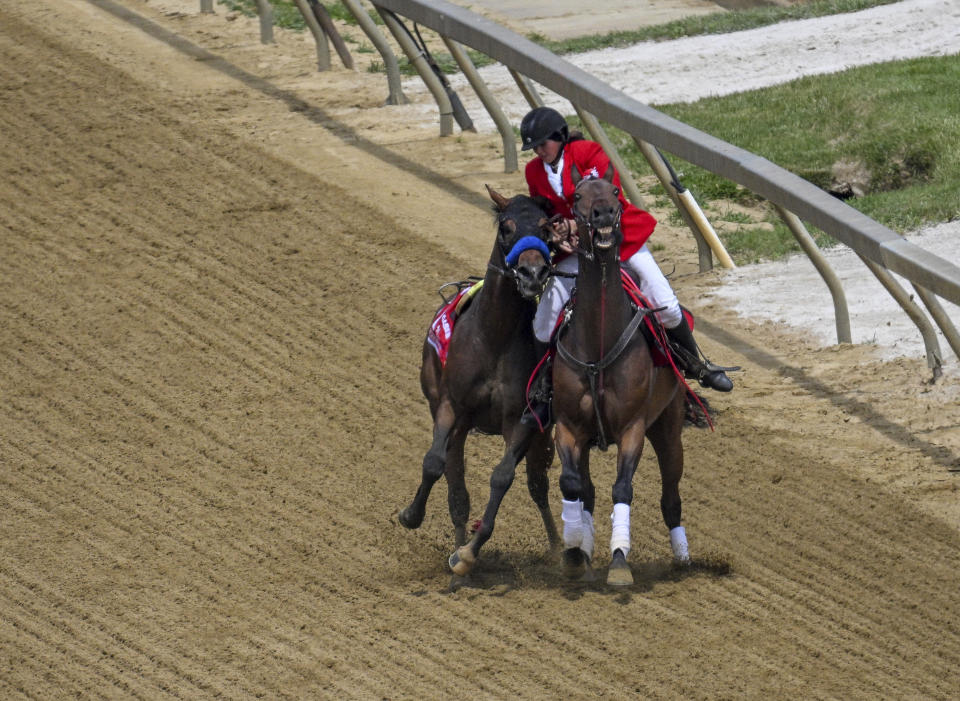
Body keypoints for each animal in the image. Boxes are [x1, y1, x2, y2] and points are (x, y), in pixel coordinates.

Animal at [400, 185, 564, 576]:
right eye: (506, 227)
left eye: (546, 228)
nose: (532, 273)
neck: (494, 337)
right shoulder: (451, 406)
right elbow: (434, 463)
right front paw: (412, 515)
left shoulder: (522, 420)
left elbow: (502, 477)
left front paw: (470, 554)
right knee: (455, 480)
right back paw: (456, 538)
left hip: (541, 434)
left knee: (537, 485)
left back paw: (558, 550)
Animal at [548, 167, 688, 588]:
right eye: (577, 196)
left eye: (614, 190)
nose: (605, 214)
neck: (598, 346)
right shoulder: (568, 426)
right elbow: (573, 485)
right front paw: (574, 551)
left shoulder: (633, 427)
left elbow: (622, 488)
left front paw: (620, 561)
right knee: (587, 489)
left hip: (669, 428)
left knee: (671, 497)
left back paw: (683, 557)